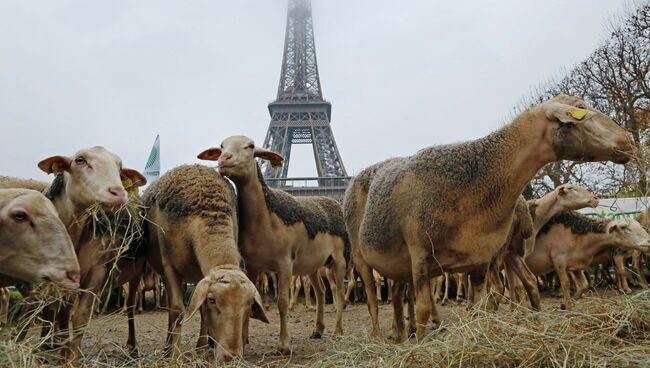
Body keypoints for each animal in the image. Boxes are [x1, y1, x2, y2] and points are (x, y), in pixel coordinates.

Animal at [140, 165, 268, 362]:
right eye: (213, 300)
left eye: (249, 305)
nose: (231, 357)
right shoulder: (169, 267)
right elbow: (177, 310)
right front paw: (173, 354)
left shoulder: (203, 273)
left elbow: (201, 312)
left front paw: (201, 351)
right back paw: (168, 348)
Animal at [197, 135, 350, 354]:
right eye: (221, 146)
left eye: (250, 146)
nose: (224, 159)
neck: (266, 217)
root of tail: (332, 201)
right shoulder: (252, 265)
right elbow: (251, 297)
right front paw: (244, 340)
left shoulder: (284, 263)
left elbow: (283, 302)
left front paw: (284, 345)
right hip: (312, 264)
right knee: (321, 291)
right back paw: (318, 330)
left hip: (339, 260)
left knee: (338, 292)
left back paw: (338, 331)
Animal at [344, 95, 632, 340]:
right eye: (580, 109)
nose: (628, 139)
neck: (476, 181)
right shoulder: (421, 254)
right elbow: (425, 306)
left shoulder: (480, 259)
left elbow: (485, 302)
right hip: (362, 256)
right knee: (373, 299)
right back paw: (380, 335)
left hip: (399, 264)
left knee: (395, 295)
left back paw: (401, 333)